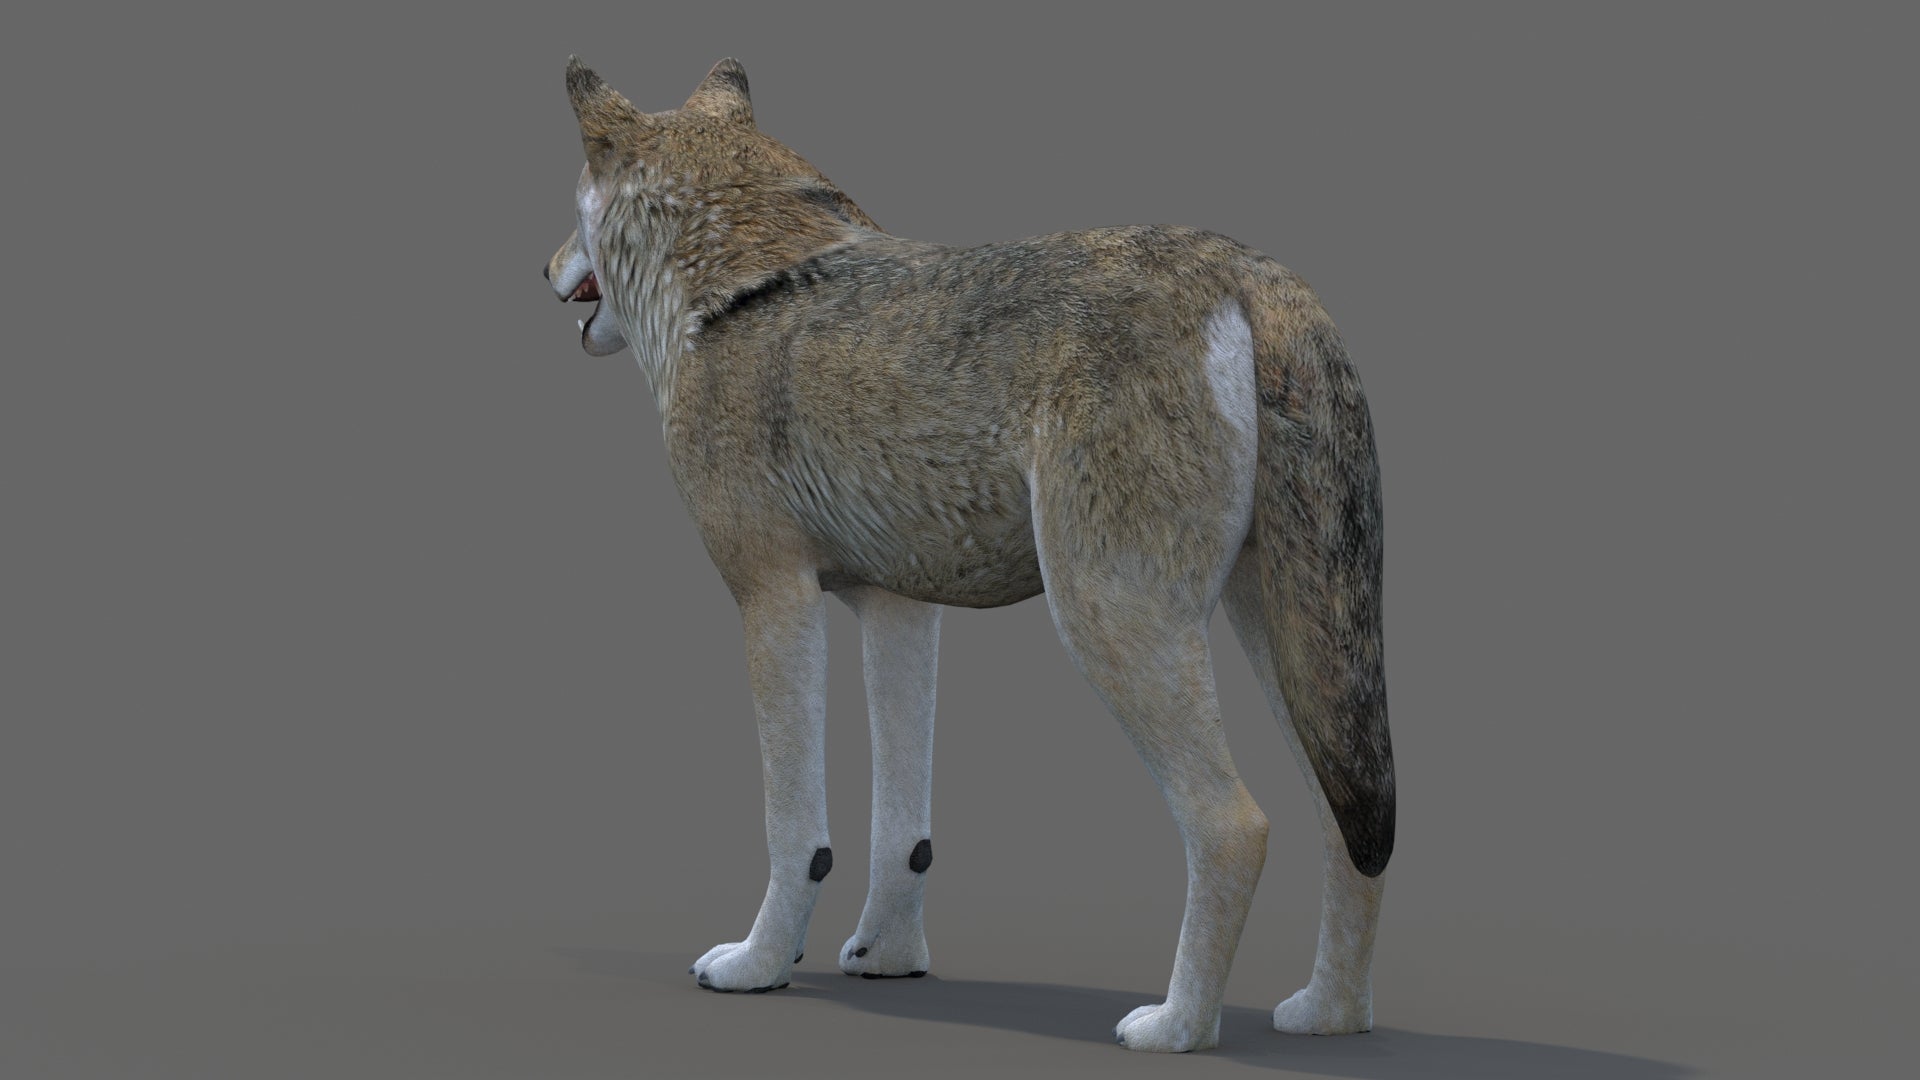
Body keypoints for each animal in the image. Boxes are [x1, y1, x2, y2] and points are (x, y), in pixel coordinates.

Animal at [543, 57, 1394, 1053]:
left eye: (570, 209)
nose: (541, 267)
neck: (732, 288)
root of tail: (1250, 272)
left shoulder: (772, 599)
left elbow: (798, 835)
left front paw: (759, 966)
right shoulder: (900, 609)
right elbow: (902, 835)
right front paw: (889, 960)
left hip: (1109, 624)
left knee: (1236, 826)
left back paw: (1178, 1027)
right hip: (1283, 649)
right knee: (1347, 827)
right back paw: (1331, 1017)